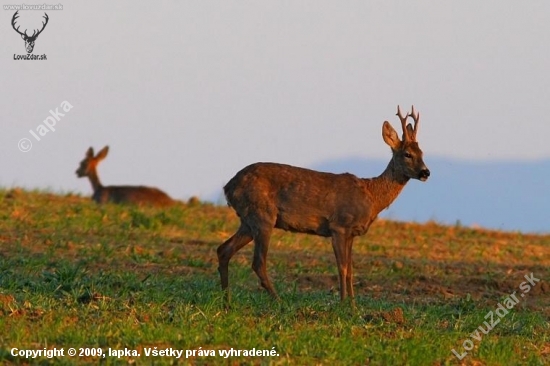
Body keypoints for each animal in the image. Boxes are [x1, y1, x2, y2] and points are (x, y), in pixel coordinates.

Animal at [219, 105, 432, 304]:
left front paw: (353, 306)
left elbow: (351, 270)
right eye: (407, 154)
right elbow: (342, 268)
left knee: (224, 249)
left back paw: (227, 300)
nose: (425, 172)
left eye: (422, 153)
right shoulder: (339, 226)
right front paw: (343, 304)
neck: (371, 196)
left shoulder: (351, 233)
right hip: (262, 215)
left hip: (248, 221)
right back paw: (279, 301)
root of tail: (228, 187)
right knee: (258, 262)